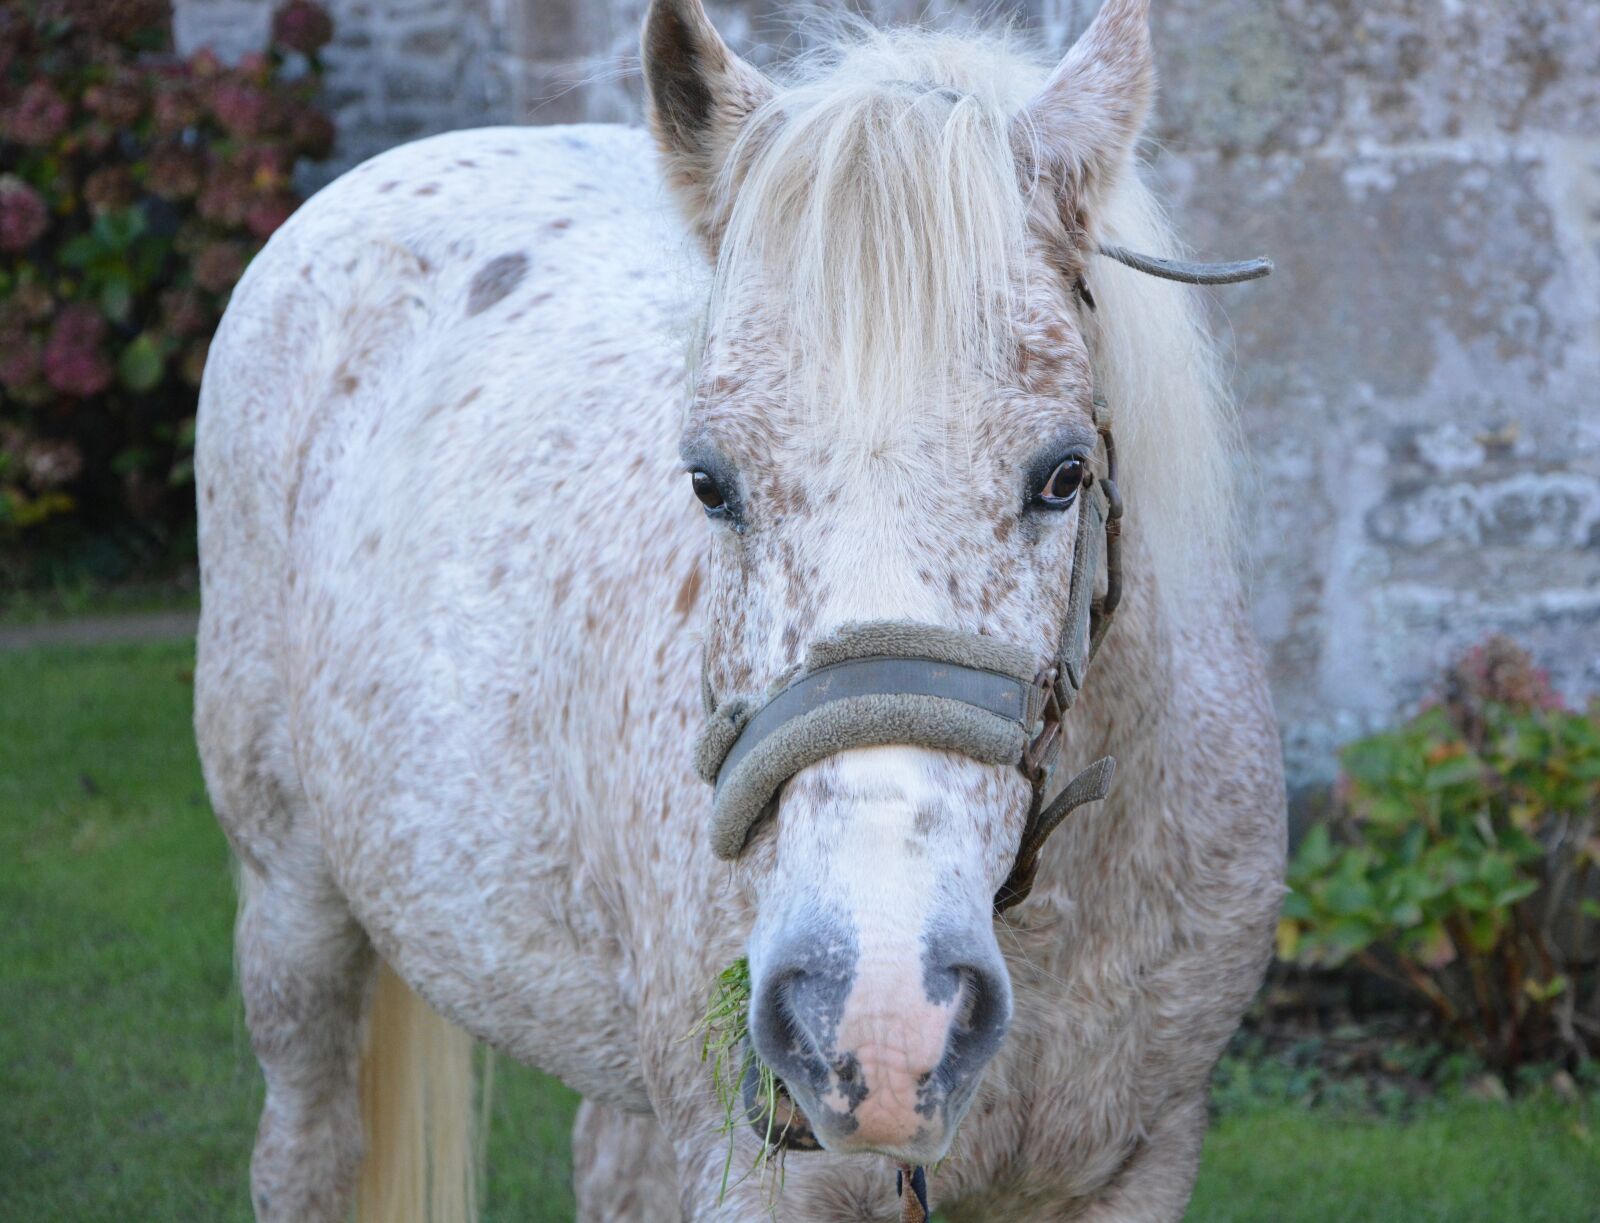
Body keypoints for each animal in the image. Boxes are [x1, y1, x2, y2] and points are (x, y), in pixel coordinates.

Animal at [193, 0, 1286, 1219]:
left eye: (1062, 474)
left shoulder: (1144, 1158)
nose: (879, 1022)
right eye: (710, 483)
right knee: (305, 1146)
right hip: (292, 910)